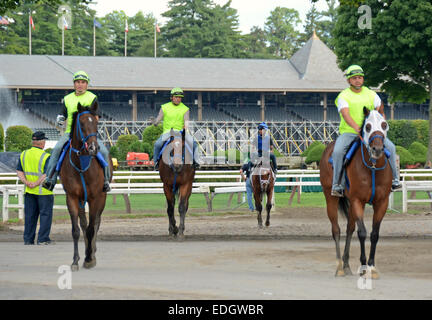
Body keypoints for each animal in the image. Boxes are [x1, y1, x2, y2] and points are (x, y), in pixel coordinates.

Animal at [62, 102, 114, 270]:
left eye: (97, 123)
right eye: (82, 124)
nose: (93, 148)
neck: (81, 166)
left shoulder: (95, 197)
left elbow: (92, 228)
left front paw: (89, 258)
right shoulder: (72, 197)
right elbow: (76, 229)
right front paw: (76, 260)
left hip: (102, 197)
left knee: (96, 222)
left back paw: (92, 252)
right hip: (81, 200)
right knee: (84, 224)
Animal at [318, 109, 394, 278]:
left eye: (384, 124)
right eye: (368, 126)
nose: (377, 149)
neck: (372, 167)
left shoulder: (382, 202)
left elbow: (374, 234)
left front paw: (372, 267)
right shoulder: (357, 201)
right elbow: (362, 232)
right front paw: (364, 266)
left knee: (349, 229)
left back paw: (346, 265)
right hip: (330, 198)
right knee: (336, 230)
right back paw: (340, 267)